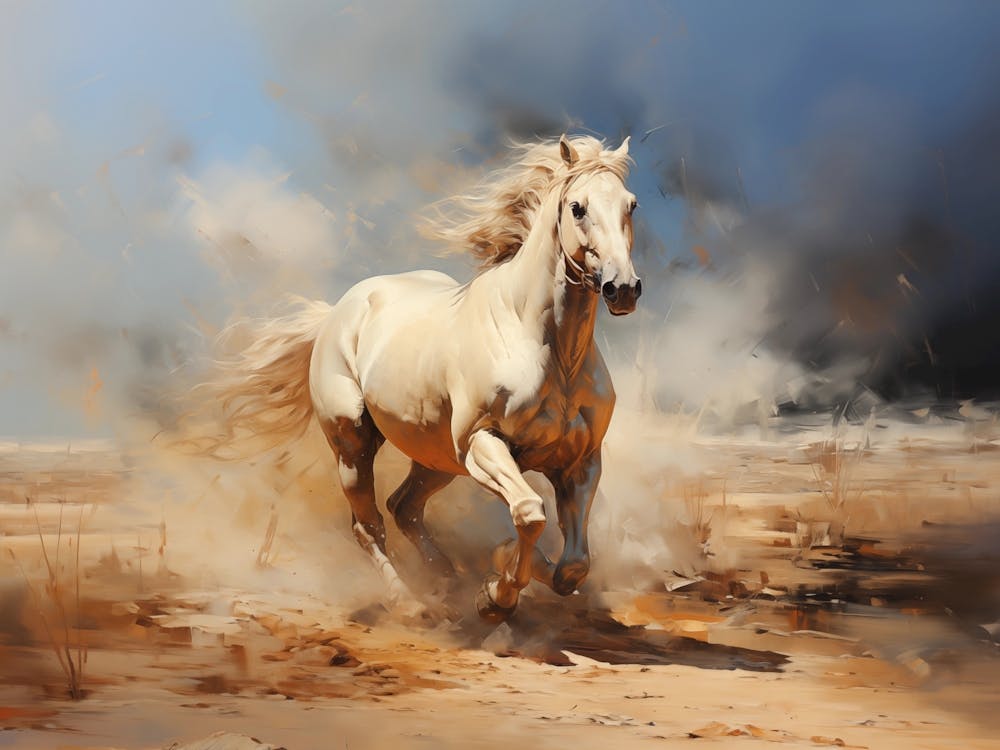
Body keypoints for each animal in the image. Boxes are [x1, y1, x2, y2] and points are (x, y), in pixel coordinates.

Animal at [203, 135, 642, 621]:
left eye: (631, 205)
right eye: (578, 208)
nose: (623, 289)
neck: (549, 351)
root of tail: (337, 313)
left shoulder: (581, 462)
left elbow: (573, 566)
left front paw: (500, 572)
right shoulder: (481, 444)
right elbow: (529, 513)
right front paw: (495, 594)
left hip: (435, 458)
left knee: (404, 508)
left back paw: (445, 576)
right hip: (354, 445)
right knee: (369, 524)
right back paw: (408, 601)